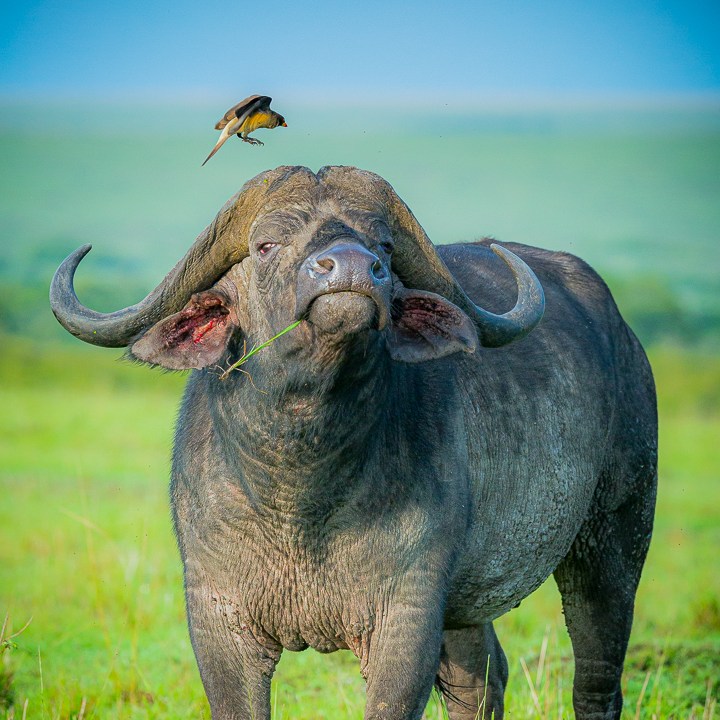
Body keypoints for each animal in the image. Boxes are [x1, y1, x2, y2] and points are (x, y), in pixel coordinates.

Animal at [50, 165, 657, 720]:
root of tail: (624, 336)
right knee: (482, 682)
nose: (352, 269)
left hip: (614, 538)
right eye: (267, 244)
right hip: (470, 604)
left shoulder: (407, 619)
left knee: (596, 679)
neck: (299, 494)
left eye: (383, 245)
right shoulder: (218, 618)